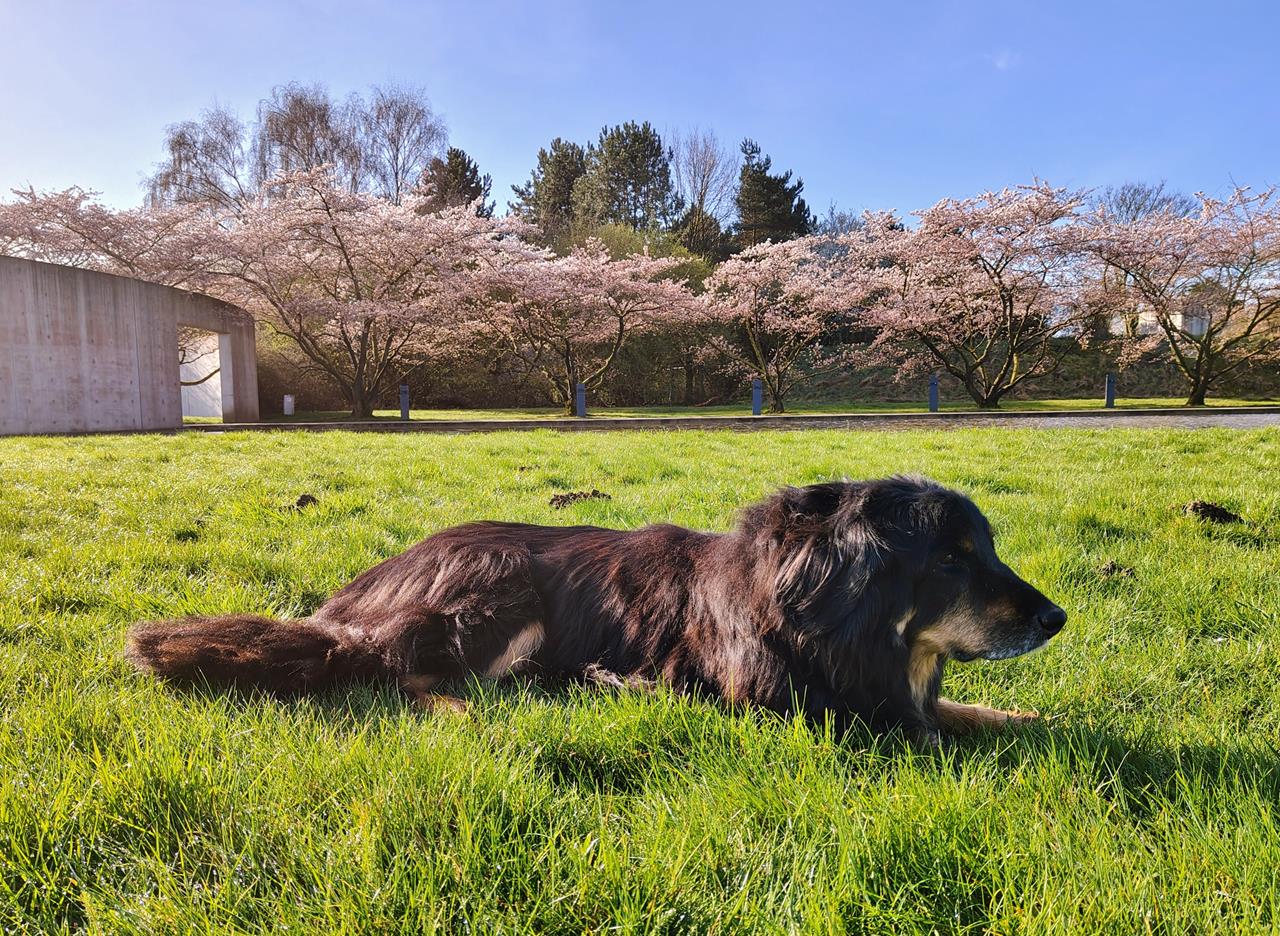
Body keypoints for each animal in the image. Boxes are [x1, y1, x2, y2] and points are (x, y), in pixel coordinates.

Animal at [127, 476, 1065, 742]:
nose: (1057, 620)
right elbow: (916, 727)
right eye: (951, 558)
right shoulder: (785, 704)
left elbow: (972, 710)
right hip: (496, 587)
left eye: (986, 548)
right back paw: (472, 713)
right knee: (397, 673)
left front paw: (1029, 717)